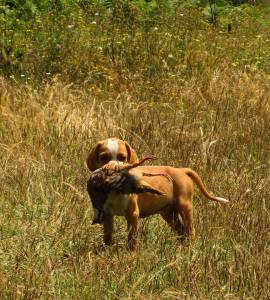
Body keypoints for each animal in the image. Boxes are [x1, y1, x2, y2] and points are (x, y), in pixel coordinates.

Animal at [87, 138, 228, 248]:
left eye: (122, 157)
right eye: (103, 157)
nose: (112, 169)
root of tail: (182, 170)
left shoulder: (133, 214)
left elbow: (132, 237)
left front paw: (130, 253)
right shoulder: (107, 214)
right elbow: (107, 236)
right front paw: (106, 251)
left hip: (185, 207)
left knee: (190, 231)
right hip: (169, 213)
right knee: (181, 231)